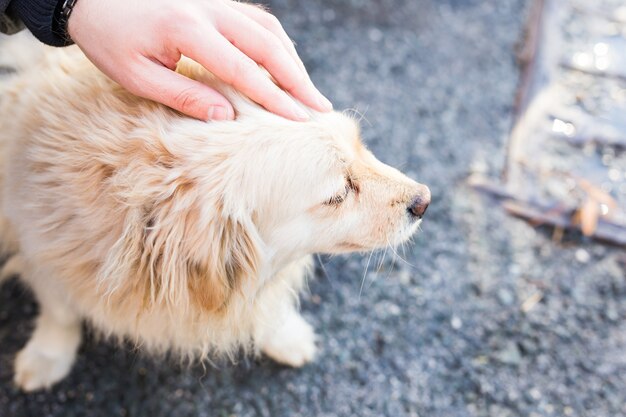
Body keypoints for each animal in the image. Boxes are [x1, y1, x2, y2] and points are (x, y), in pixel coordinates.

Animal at [0, 35, 428, 390]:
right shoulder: (41, 252)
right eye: (339, 194)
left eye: (361, 146)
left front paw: (285, 336)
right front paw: (46, 358)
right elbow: (60, 313)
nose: (424, 201)